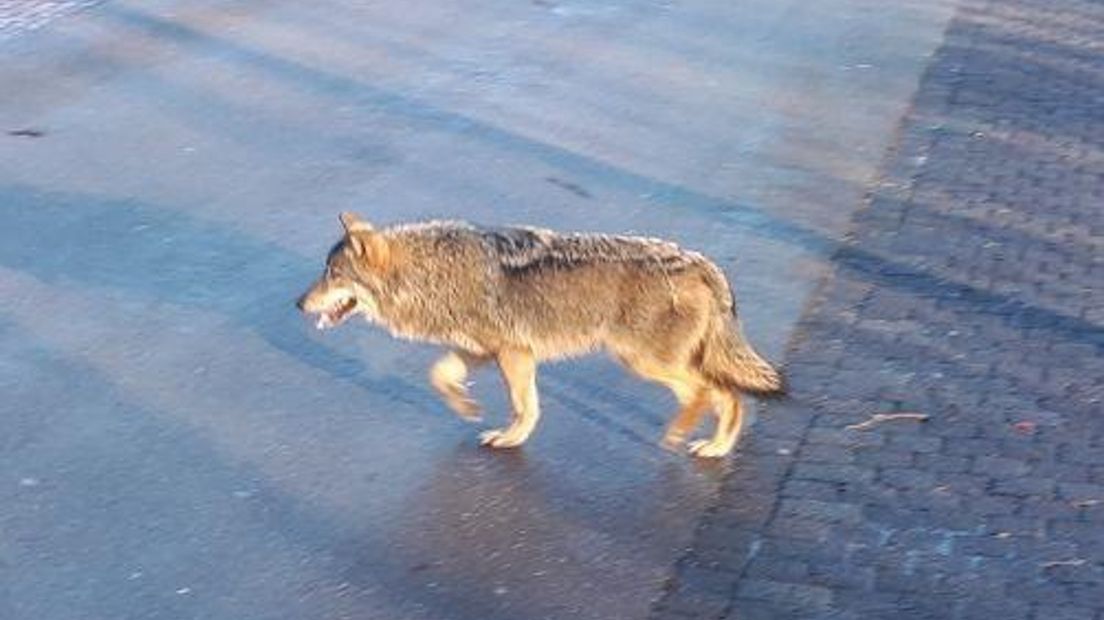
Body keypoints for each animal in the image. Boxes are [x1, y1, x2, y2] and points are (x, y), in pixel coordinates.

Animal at [298, 214, 781, 458]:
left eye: (332, 274)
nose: (298, 303)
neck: (429, 275)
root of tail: (703, 263)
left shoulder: (515, 355)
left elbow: (524, 407)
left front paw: (510, 439)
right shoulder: (482, 352)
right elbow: (440, 375)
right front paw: (468, 407)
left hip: (644, 363)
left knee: (713, 394)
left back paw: (682, 437)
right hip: (656, 365)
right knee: (729, 398)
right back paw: (716, 447)